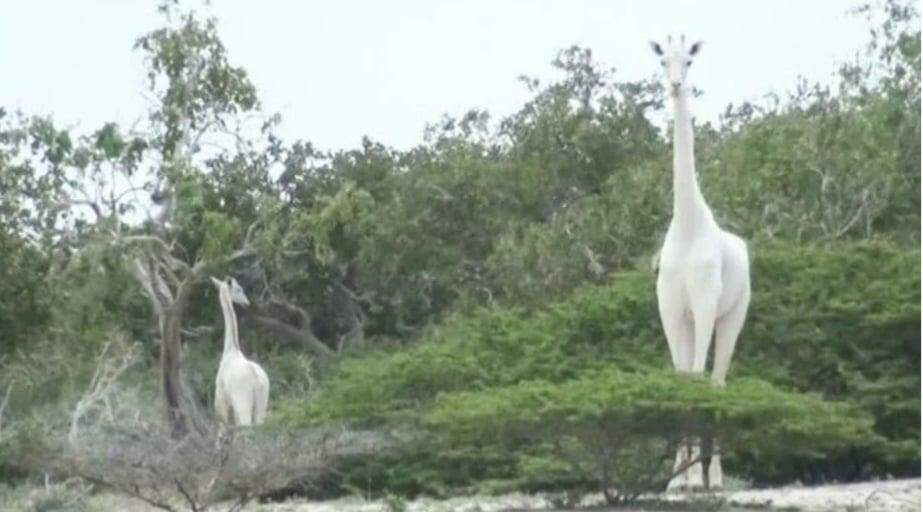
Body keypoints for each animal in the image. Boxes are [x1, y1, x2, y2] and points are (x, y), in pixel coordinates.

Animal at [216, 278, 272, 426]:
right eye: (238, 289)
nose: (246, 303)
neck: (230, 349)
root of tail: (257, 380)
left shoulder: (221, 401)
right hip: (262, 404)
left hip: (243, 403)